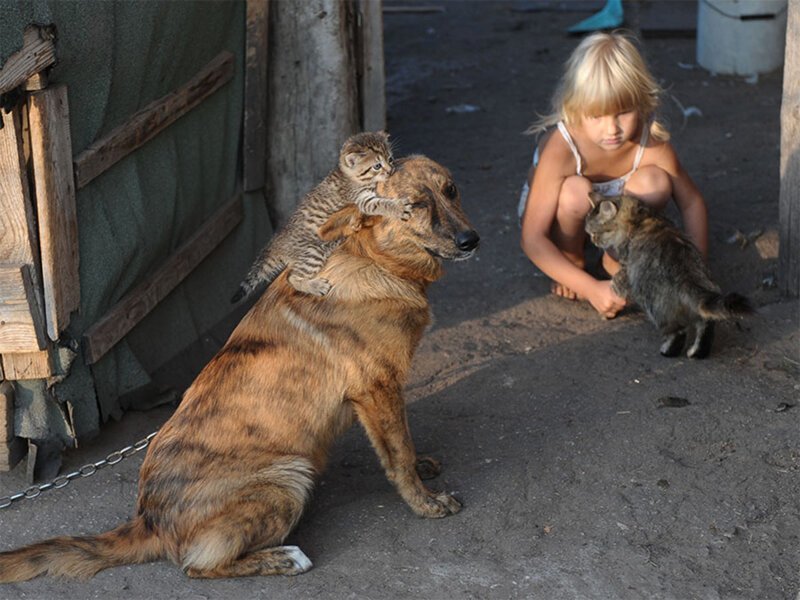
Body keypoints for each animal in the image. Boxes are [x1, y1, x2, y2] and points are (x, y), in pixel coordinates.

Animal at [0, 155, 482, 580]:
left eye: (451, 190)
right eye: (414, 206)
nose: (471, 241)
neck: (374, 259)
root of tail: (149, 520)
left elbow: (405, 444)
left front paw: (423, 468)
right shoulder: (378, 388)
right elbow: (398, 454)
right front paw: (426, 503)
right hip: (289, 477)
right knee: (198, 567)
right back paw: (283, 559)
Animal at [230, 131, 406, 300]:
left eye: (390, 159)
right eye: (377, 166)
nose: (390, 170)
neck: (348, 176)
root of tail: (276, 243)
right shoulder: (361, 199)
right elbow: (379, 203)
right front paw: (399, 208)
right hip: (313, 252)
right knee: (291, 277)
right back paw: (315, 286)